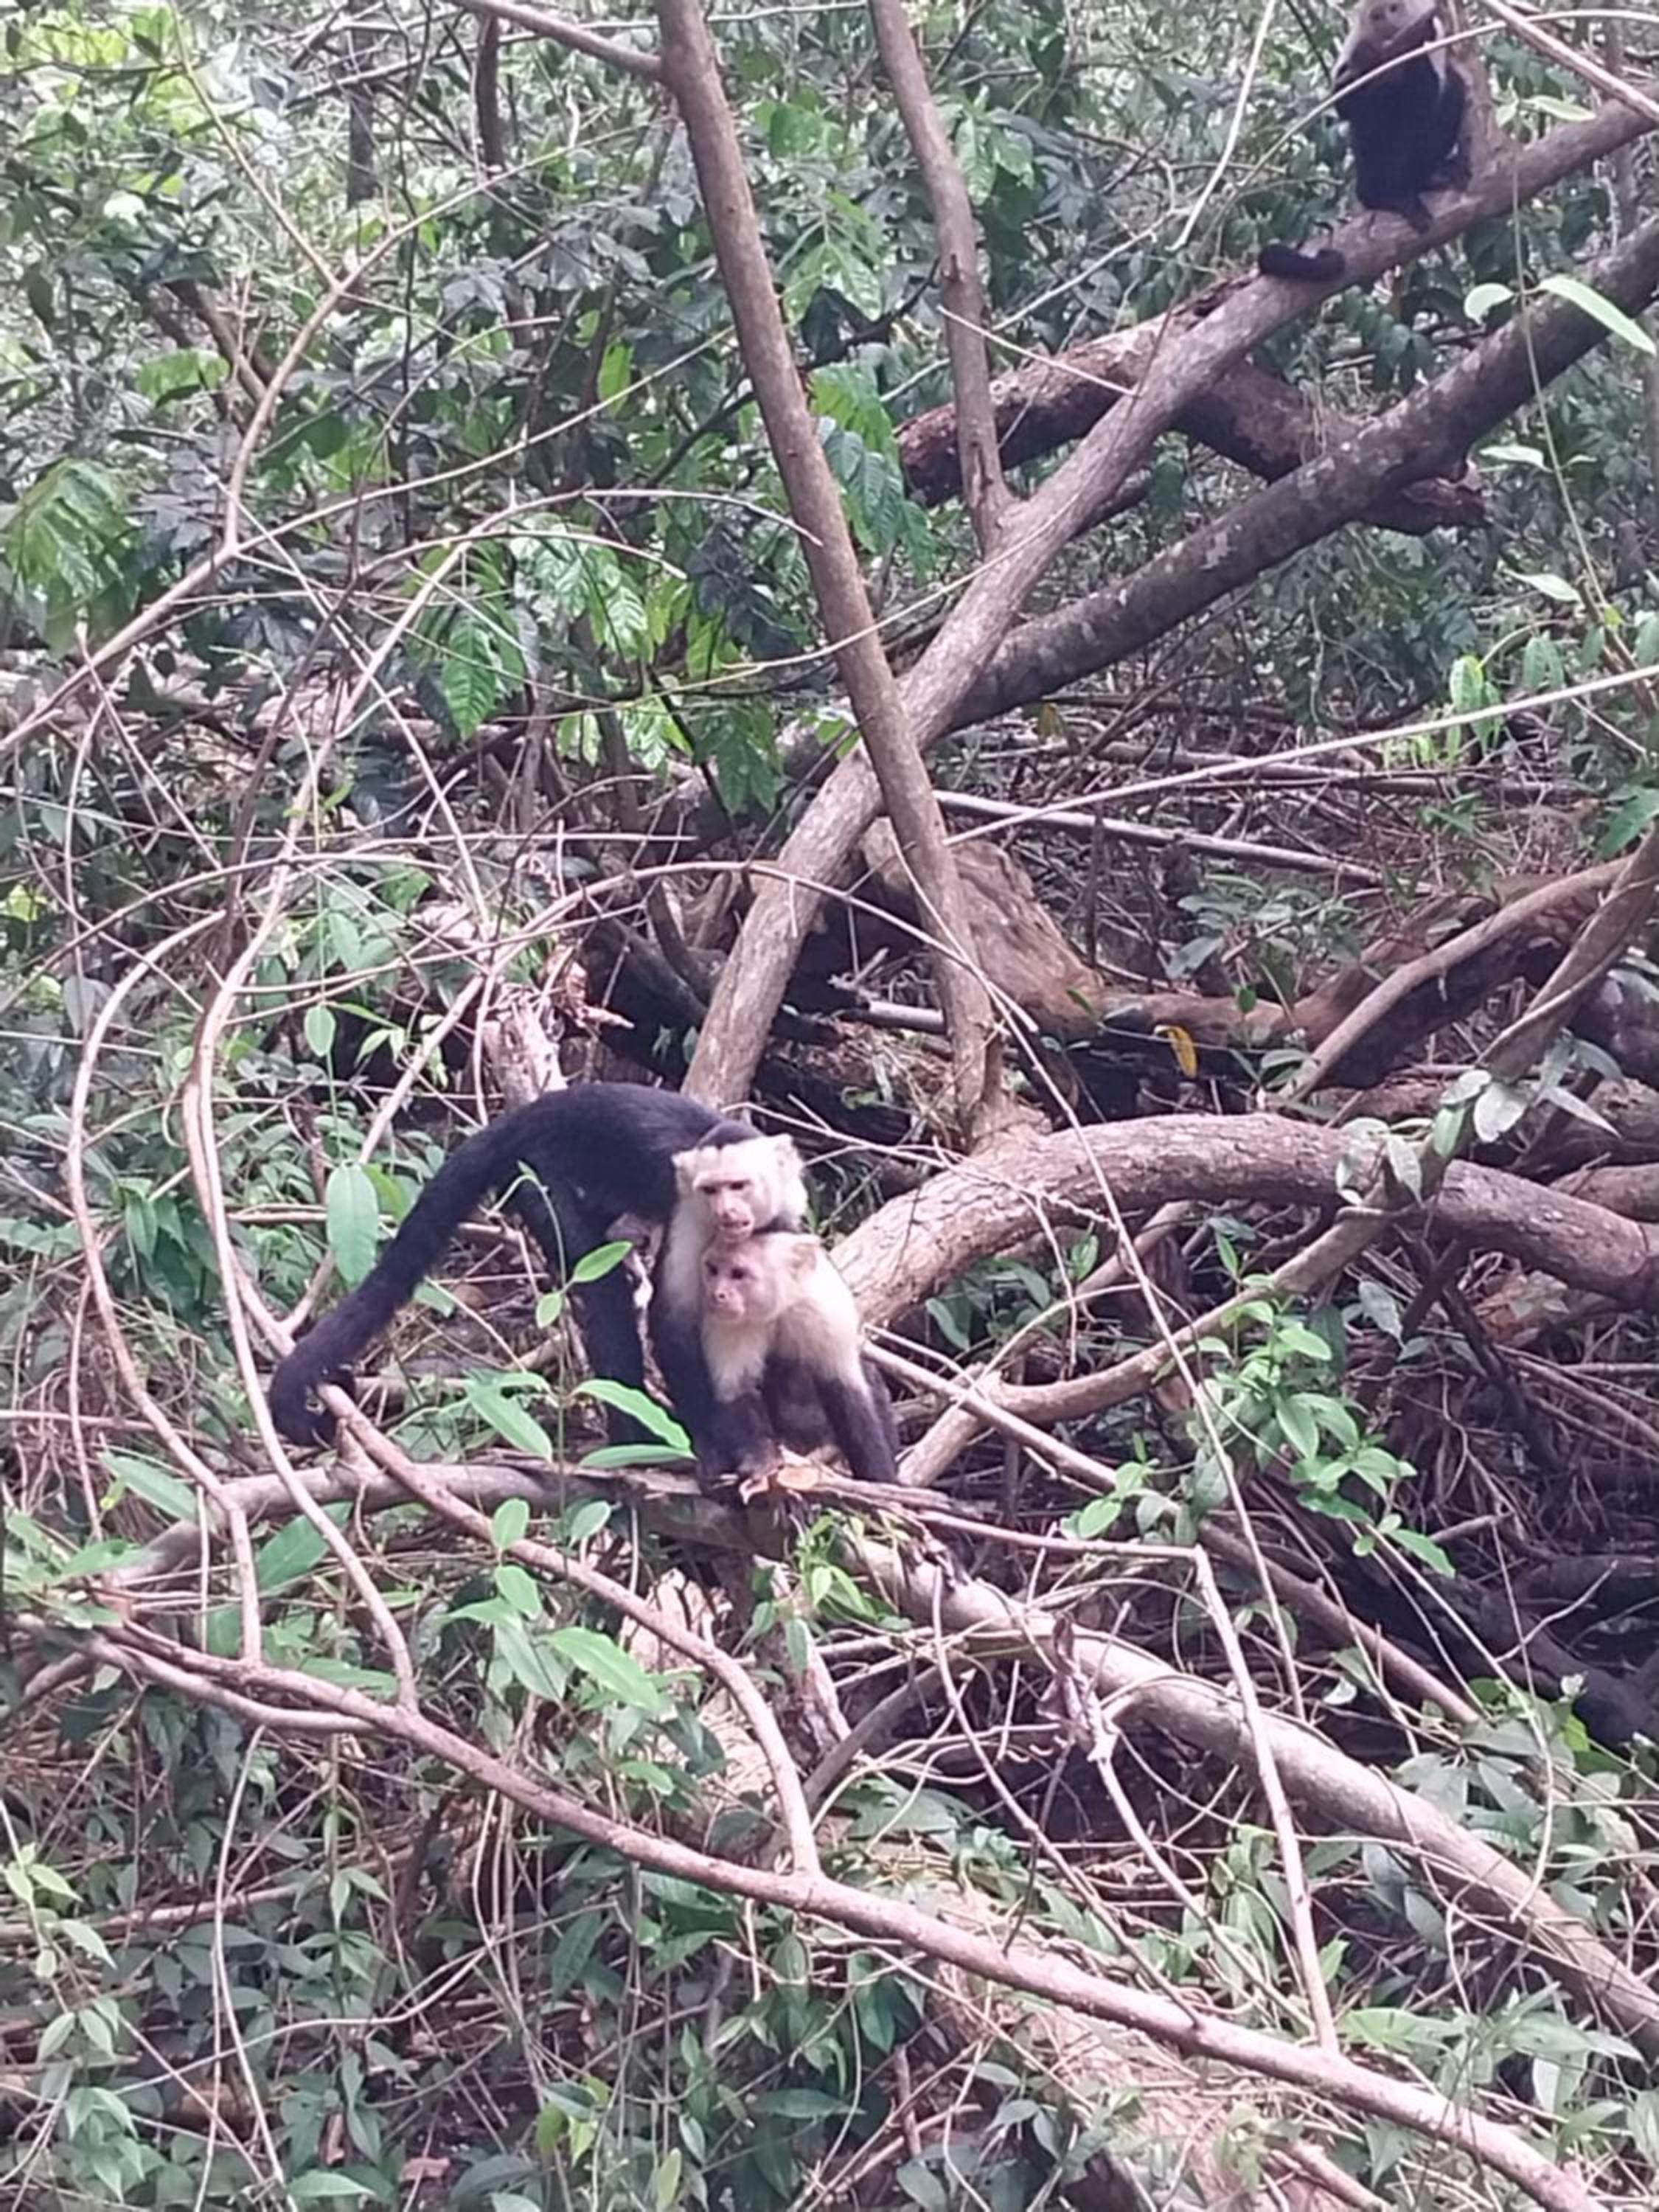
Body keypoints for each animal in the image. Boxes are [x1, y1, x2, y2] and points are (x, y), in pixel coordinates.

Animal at [267, 1084, 806, 1454]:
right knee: (602, 1288)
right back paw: (631, 1439)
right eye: (711, 1189)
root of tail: (521, 1118)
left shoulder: (782, 1218)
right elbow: (671, 1322)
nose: (727, 1212)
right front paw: (715, 1445)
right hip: (535, 1173)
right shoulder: (691, 1214)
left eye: (739, 1185)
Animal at [695, 1231, 899, 1487]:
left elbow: (847, 1391)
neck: (781, 1305)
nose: (717, 1294)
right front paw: (760, 1458)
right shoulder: (728, 1322)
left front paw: (881, 1479)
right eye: (713, 1270)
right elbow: (736, 1390)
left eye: (738, 1274)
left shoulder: (825, 1310)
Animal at [1257, 0, 1468, 282]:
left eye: (1394, 9)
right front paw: (1394, 51)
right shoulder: (1357, 43)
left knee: (1446, 90)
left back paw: (1427, 177)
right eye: (1376, 14)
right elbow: (1347, 103)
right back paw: (1382, 195)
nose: (1380, 17)